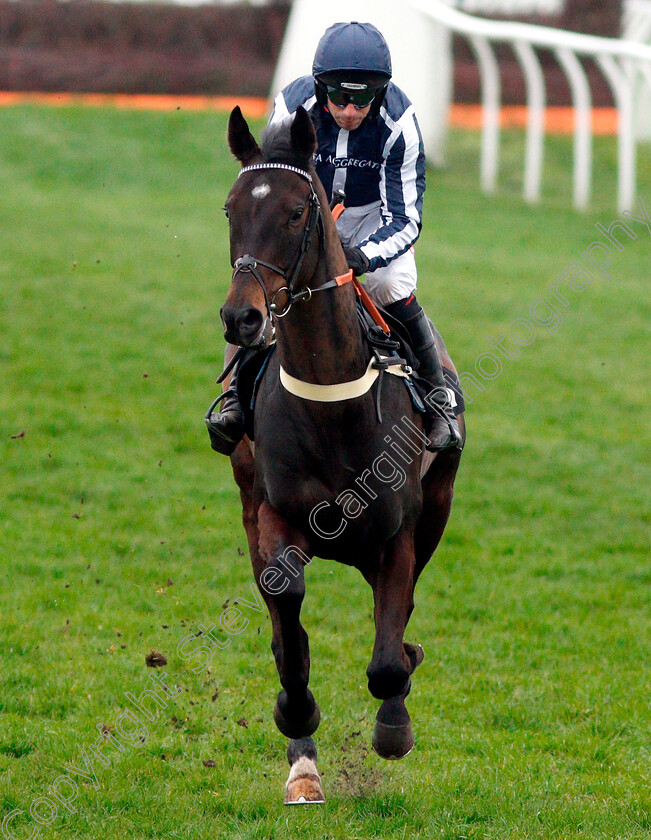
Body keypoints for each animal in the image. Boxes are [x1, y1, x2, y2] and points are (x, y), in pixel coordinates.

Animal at [218, 108, 464, 804]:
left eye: (298, 211)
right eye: (231, 208)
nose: (242, 318)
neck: (330, 400)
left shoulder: (400, 534)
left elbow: (386, 659)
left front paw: (395, 723)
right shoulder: (274, 518)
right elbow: (289, 637)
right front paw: (298, 730)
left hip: (436, 509)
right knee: (286, 631)